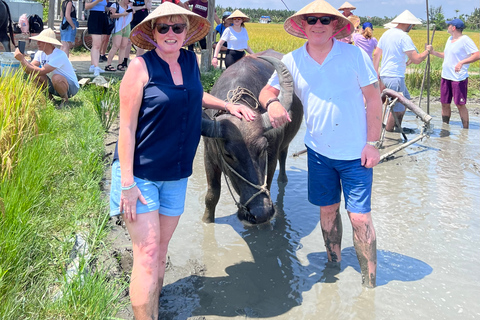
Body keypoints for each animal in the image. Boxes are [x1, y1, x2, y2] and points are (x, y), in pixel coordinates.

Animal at [201, 50, 302, 225]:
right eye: (228, 154)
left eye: (263, 149)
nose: (260, 213)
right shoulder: (208, 156)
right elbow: (212, 195)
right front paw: (206, 220)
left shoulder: (271, 158)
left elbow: (268, 182)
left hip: (284, 145)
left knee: (283, 157)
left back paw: (283, 180)